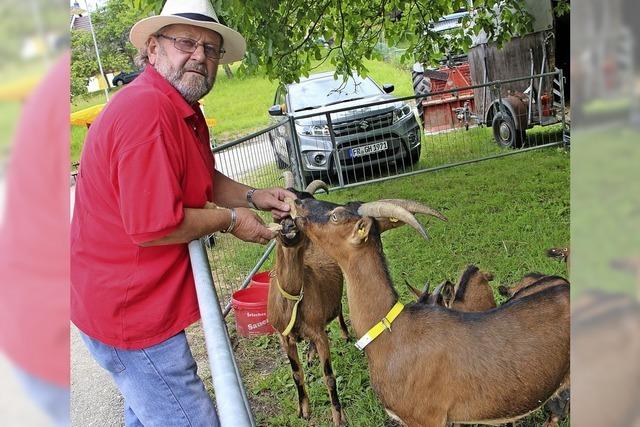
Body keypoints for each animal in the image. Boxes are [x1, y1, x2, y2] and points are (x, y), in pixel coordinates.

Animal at [266, 176, 350, 426]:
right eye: (277, 215)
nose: (288, 226)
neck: (293, 298)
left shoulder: (321, 336)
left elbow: (329, 376)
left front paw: (338, 416)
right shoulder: (284, 337)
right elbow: (296, 374)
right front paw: (304, 410)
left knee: (339, 309)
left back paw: (345, 334)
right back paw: (311, 355)